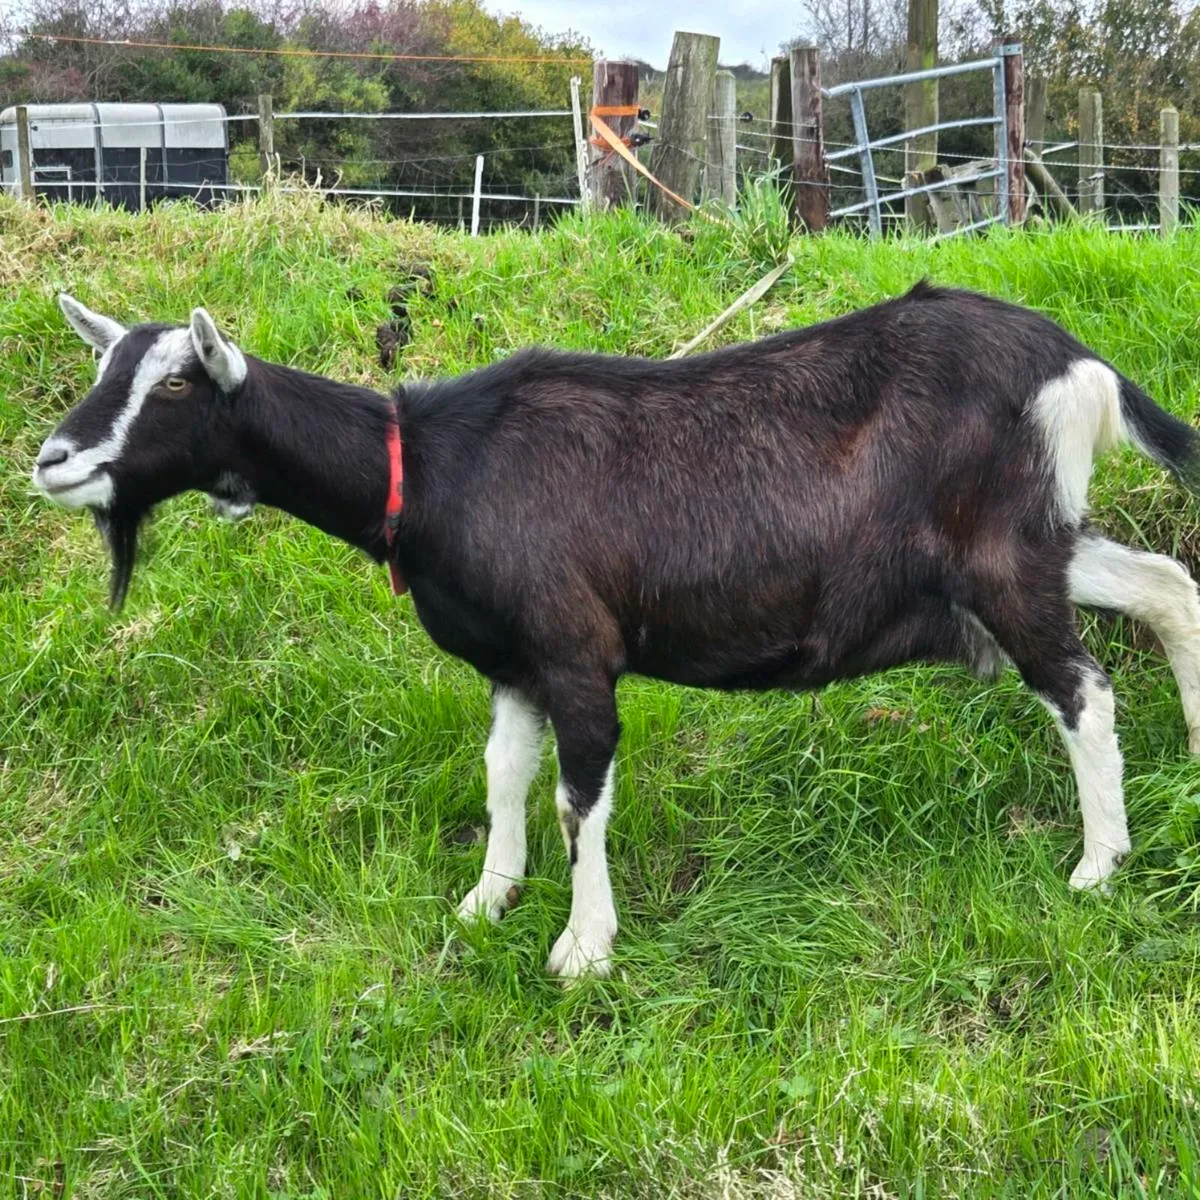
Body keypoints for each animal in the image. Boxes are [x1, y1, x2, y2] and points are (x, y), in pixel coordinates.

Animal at [33, 285, 1200, 977]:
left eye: (175, 380)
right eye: (104, 369)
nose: (51, 459)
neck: (431, 470)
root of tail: (1077, 362)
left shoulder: (573, 649)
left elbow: (575, 792)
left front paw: (582, 947)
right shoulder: (512, 664)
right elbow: (504, 772)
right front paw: (485, 901)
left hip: (1000, 555)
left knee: (1082, 688)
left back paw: (1099, 866)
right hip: (1039, 533)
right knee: (1166, 584)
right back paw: (1190, 749)